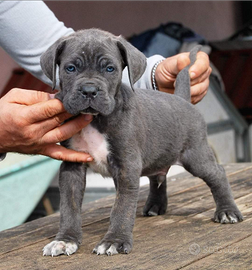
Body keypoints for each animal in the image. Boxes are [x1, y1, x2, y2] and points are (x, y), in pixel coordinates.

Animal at [40, 28, 243, 256]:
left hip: (196, 156)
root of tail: (182, 100)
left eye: (110, 69)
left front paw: (114, 240)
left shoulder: (127, 166)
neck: (95, 119)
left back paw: (227, 211)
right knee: (158, 177)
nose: (89, 90)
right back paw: (156, 205)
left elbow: (122, 207)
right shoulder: (72, 167)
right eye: (70, 68)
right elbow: (70, 206)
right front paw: (65, 240)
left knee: (218, 173)